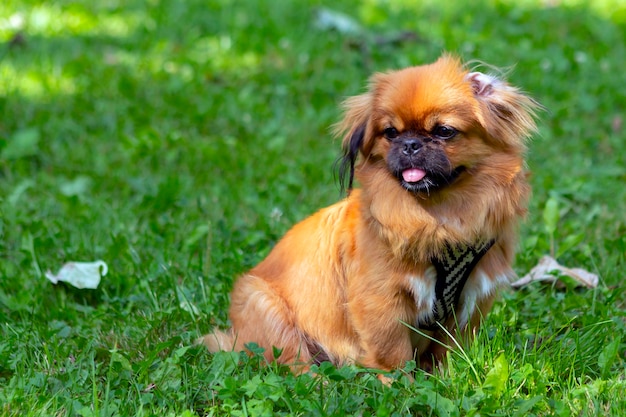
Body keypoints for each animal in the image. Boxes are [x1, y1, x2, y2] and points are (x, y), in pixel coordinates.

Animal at [200, 54, 536, 374]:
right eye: (391, 133)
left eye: (444, 131)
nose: (411, 144)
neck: (439, 216)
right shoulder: (380, 301)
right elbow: (394, 354)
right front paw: (400, 384)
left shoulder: (471, 299)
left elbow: (447, 352)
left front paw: (445, 377)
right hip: (265, 308)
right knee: (295, 364)